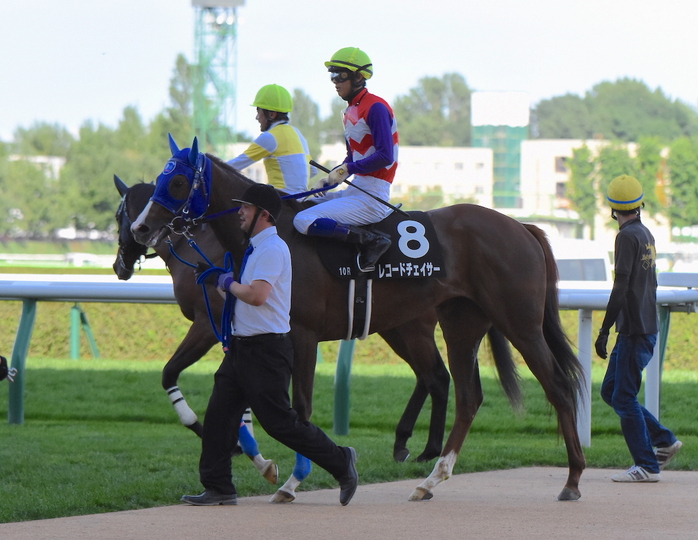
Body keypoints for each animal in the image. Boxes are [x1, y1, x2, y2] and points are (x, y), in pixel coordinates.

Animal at [131, 137, 585, 501]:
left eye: (176, 182)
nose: (140, 228)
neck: (278, 236)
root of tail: (522, 226)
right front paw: (266, 468)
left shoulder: (302, 334)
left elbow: (300, 408)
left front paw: (294, 482)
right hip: (461, 324)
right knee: (468, 396)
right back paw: (430, 480)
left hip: (518, 323)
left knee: (558, 387)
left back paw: (573, 479)